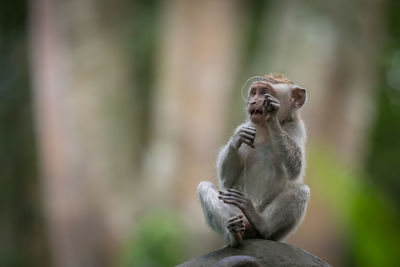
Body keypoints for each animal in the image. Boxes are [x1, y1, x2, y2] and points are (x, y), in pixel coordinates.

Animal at [198, 73, 310, 247]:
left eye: (264, 92)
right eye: (253, 93)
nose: (252, 101)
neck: (264, 129)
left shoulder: (297, 128)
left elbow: (294, 170)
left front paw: (272, 114)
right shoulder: (248, 126)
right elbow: (227, 180)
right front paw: (236, 140)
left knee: (301, 191)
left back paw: (261, 225)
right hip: (236, 212)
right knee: (205, 187)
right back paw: (234, 233)